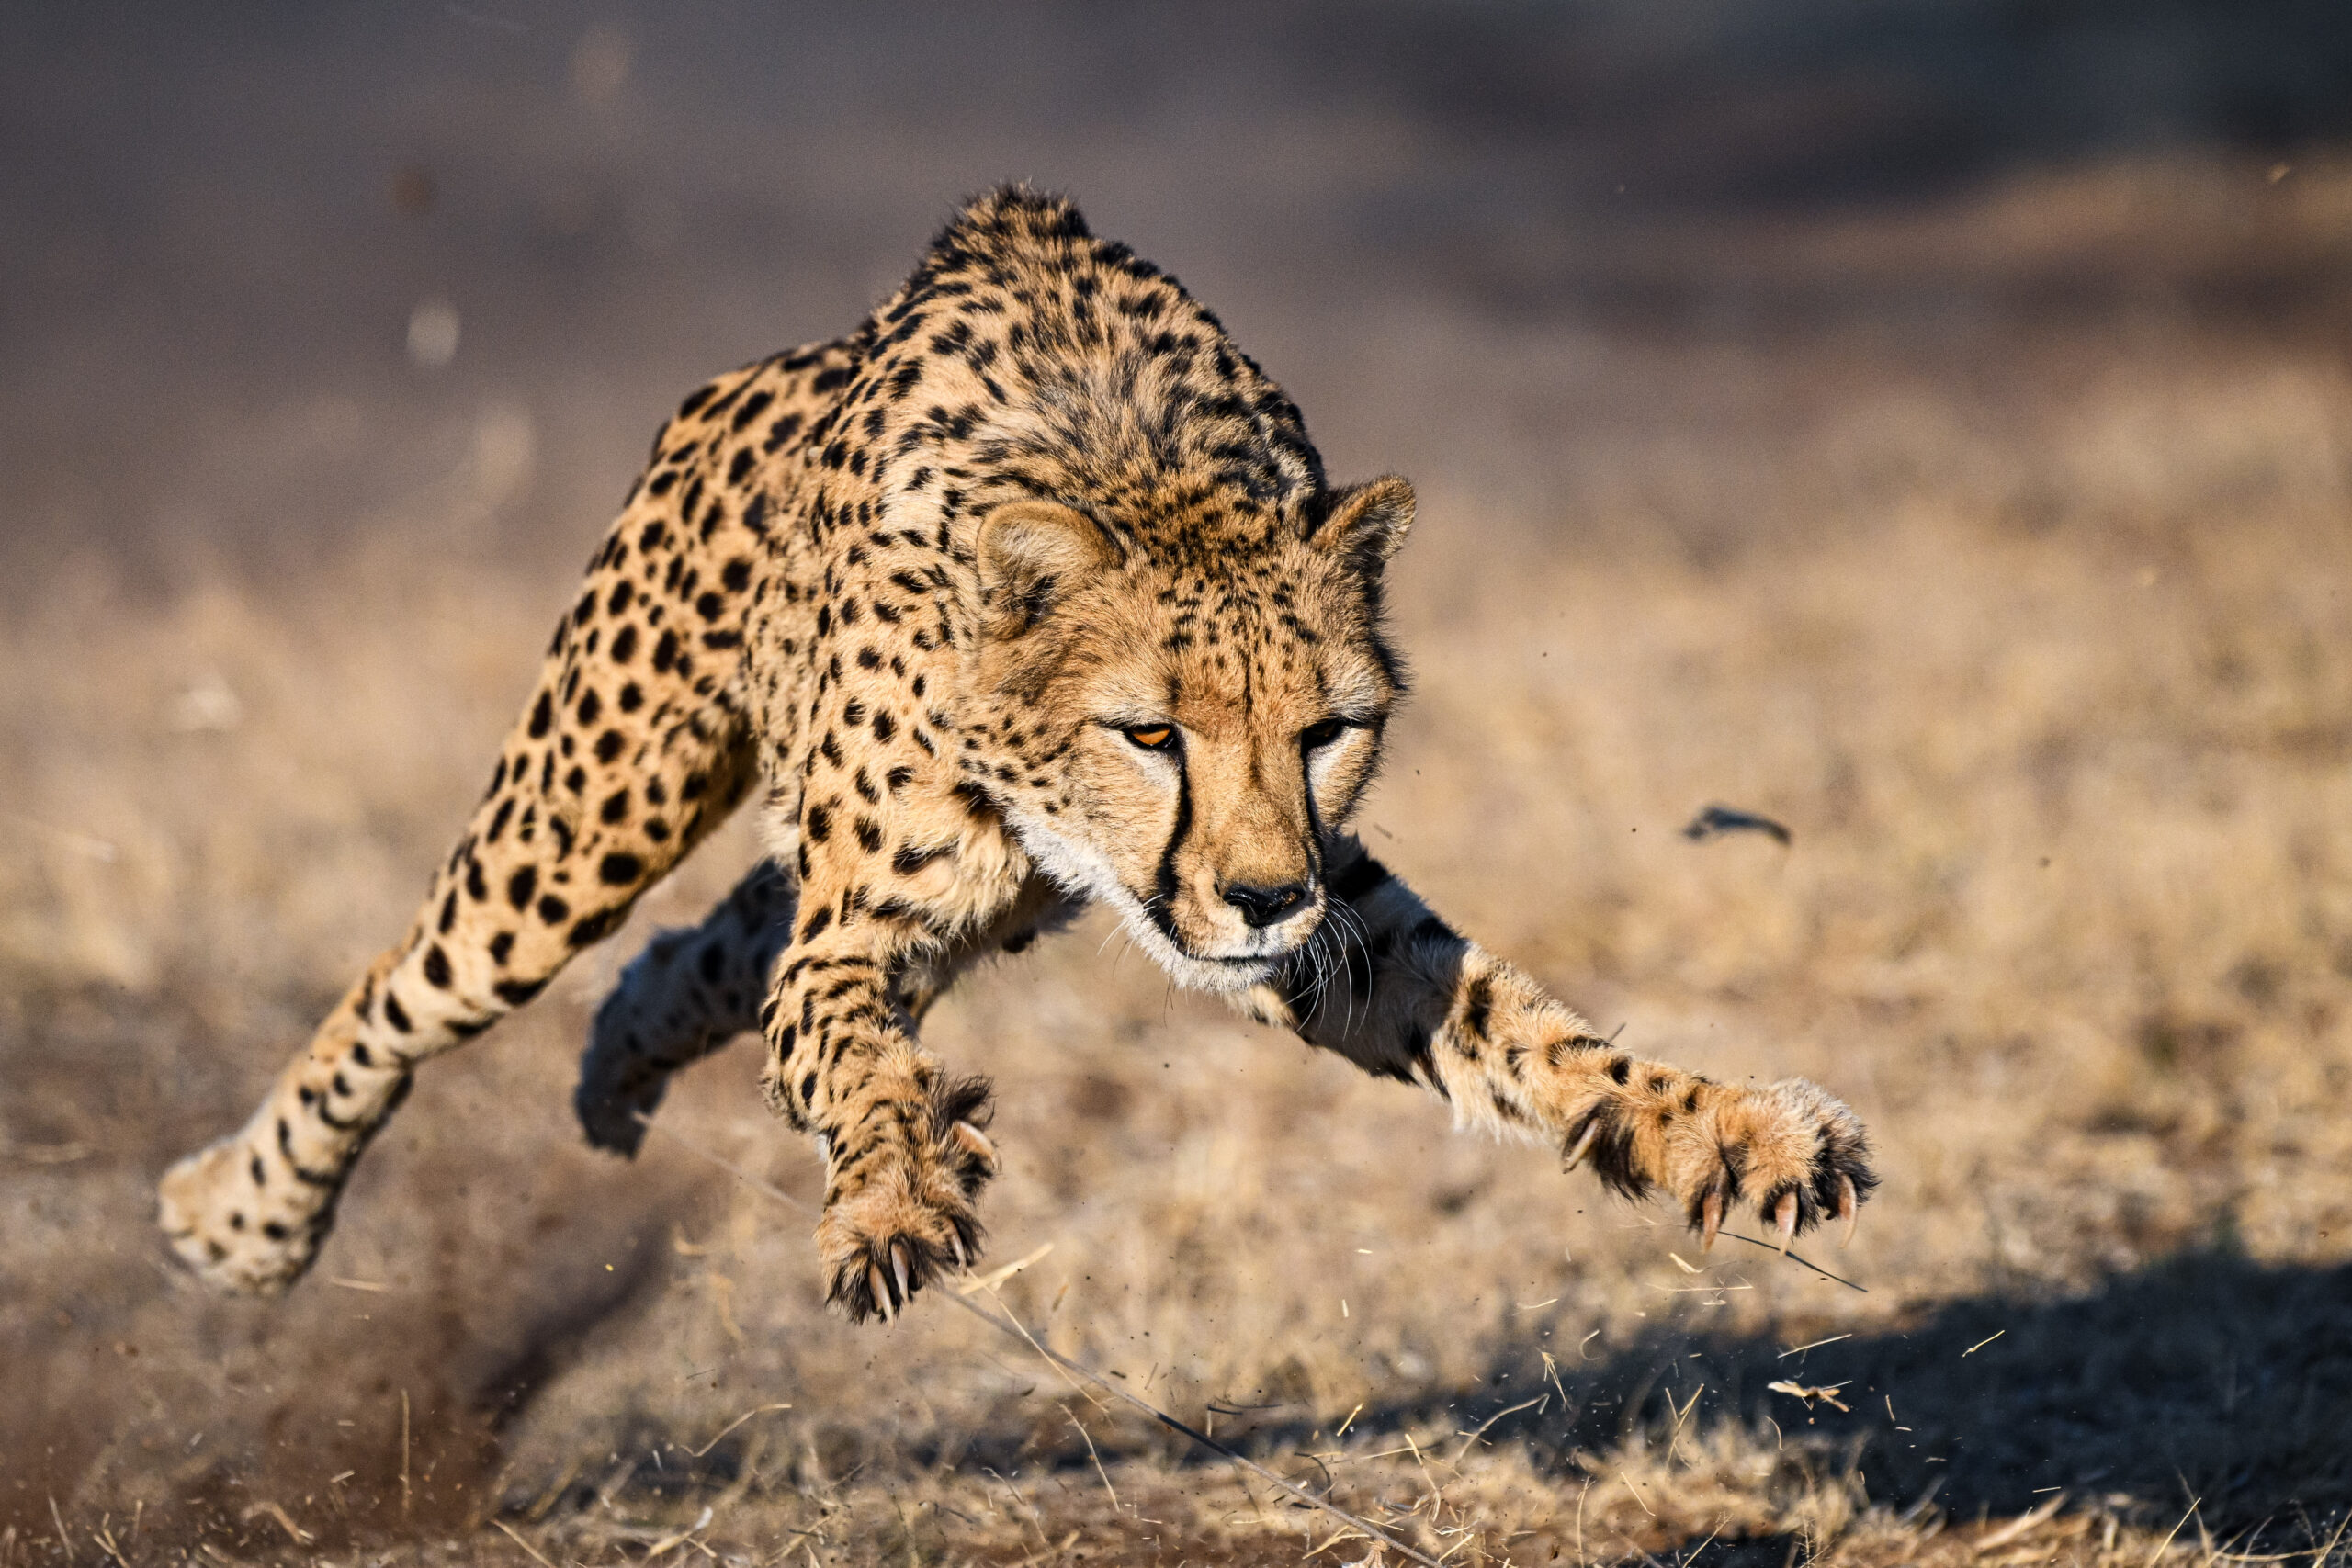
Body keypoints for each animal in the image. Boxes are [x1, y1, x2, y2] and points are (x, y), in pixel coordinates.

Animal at [158, 187, 1876, 1322]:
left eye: (1325, 731)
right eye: (1151, 732)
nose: (1263, 899)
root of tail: (768, 367)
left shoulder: (1332, 919)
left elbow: (1531, 1033)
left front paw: (1731, 1125)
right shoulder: (876, 919)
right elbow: (846, 1053)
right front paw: (897, 1192)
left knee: (710, 947)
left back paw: (620, 1048)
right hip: (587, 813)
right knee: (403, 984)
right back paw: (241, 1219)